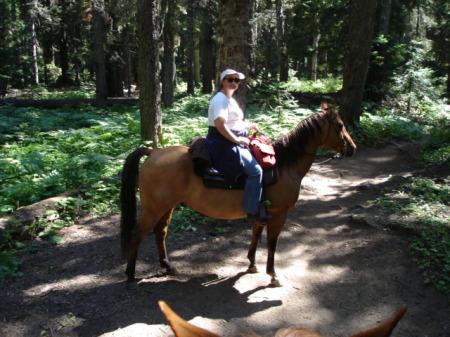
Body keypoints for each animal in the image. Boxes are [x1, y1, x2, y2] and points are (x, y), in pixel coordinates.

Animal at [119, 101, 356, 284]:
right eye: (340, 125)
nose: (352, 148)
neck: (284, 164)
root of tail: (153, 151)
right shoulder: (279, 214)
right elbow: (272, 243)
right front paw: (272, 274)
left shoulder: (262, 212)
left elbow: (256, 234)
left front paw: (251, 264)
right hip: (154, 208)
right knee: (138, 233)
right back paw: (130, 274)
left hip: (167, 206)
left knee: (160, 233)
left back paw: (167, 266)